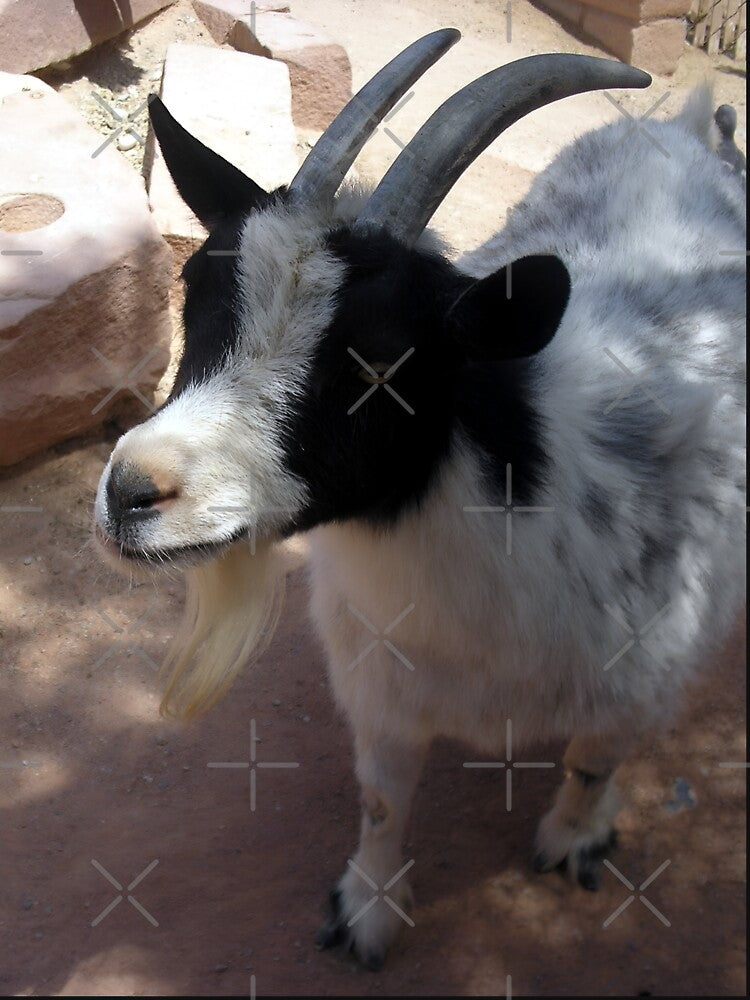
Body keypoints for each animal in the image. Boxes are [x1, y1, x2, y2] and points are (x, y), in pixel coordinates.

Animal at [94, 30, 746, 970]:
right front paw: (366, 913)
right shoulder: (383, 689)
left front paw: (575, 841)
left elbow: (594, 761)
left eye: (383, 365)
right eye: (193, 292)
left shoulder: (644, 680)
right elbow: (382, 800)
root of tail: (685, 128)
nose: (132, 492)